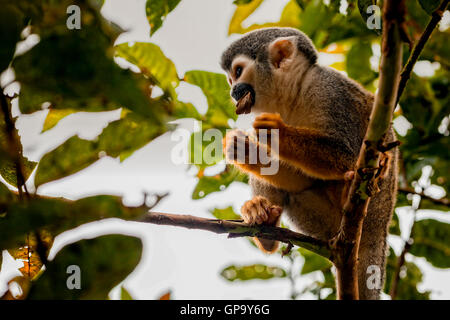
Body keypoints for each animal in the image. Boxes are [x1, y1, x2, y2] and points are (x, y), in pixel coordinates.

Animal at [221, 28, 398, 300]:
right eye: (230, 80)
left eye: (238, 72)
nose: (233, 92)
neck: (294, 95)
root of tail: (380, 230)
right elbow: (296, 178)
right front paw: (245, 151)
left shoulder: (330, 91)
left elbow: (347, 154)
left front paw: (277, 133)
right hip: (321, 224)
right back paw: (265, 224)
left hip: (377, 207)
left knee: (371, 164)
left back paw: (354, 190)